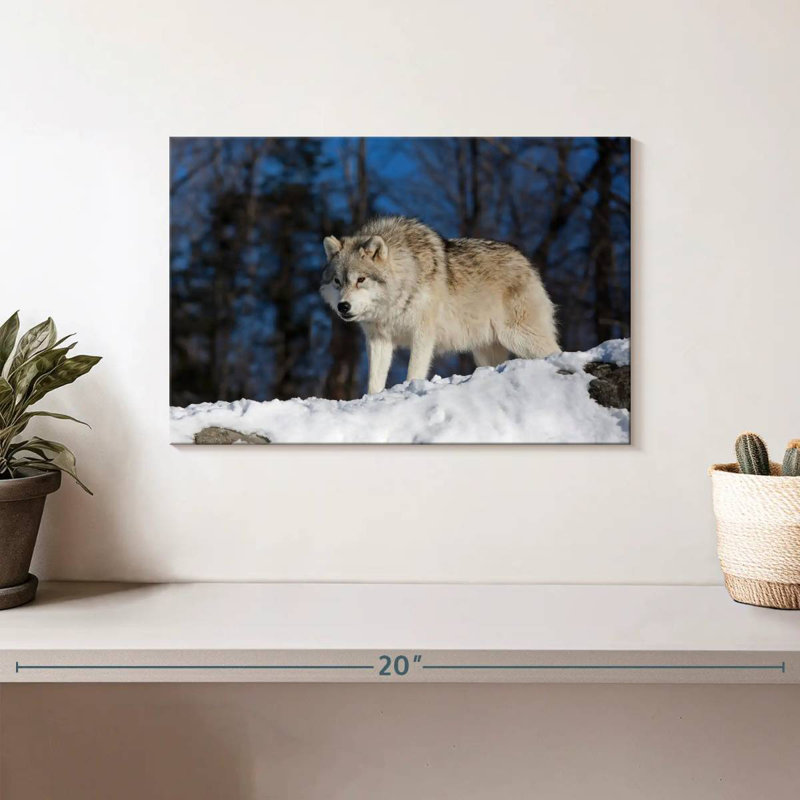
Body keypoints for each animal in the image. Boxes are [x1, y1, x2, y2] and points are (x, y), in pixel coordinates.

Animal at [320, 216, 559, 394]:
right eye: (337, 281)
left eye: (360, 280)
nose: (343, 306)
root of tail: (524, 260)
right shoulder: (379, 339)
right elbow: (374, 382)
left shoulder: (423, 334)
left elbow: (414, 371)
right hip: (485, 351)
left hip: (520, 338)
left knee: (555, 350)